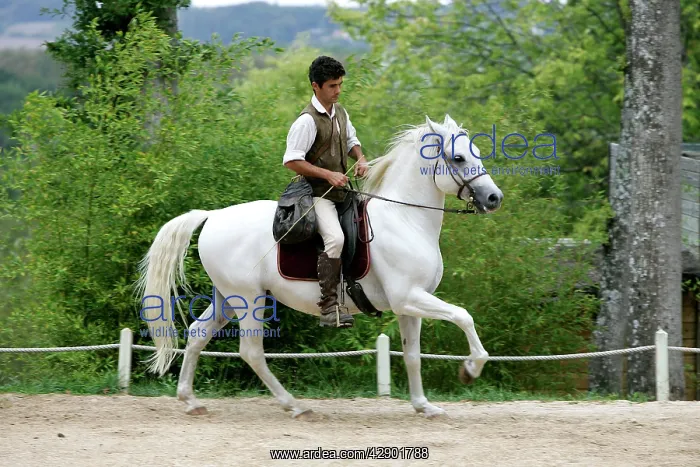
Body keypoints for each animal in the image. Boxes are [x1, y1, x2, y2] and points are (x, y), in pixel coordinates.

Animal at [135, 114, 504, 418]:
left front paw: (423, 406)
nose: (494, 198)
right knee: (251, 351)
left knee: (199, 334)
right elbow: (463, 316)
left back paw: (190, 401)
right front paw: (470, 369)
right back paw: (295, 406)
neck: (405, 219)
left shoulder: (408, 306)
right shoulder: (409, 297)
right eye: (458, 158)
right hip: (249, 299)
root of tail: (213, 216)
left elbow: (412, 355)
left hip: (227, 297)